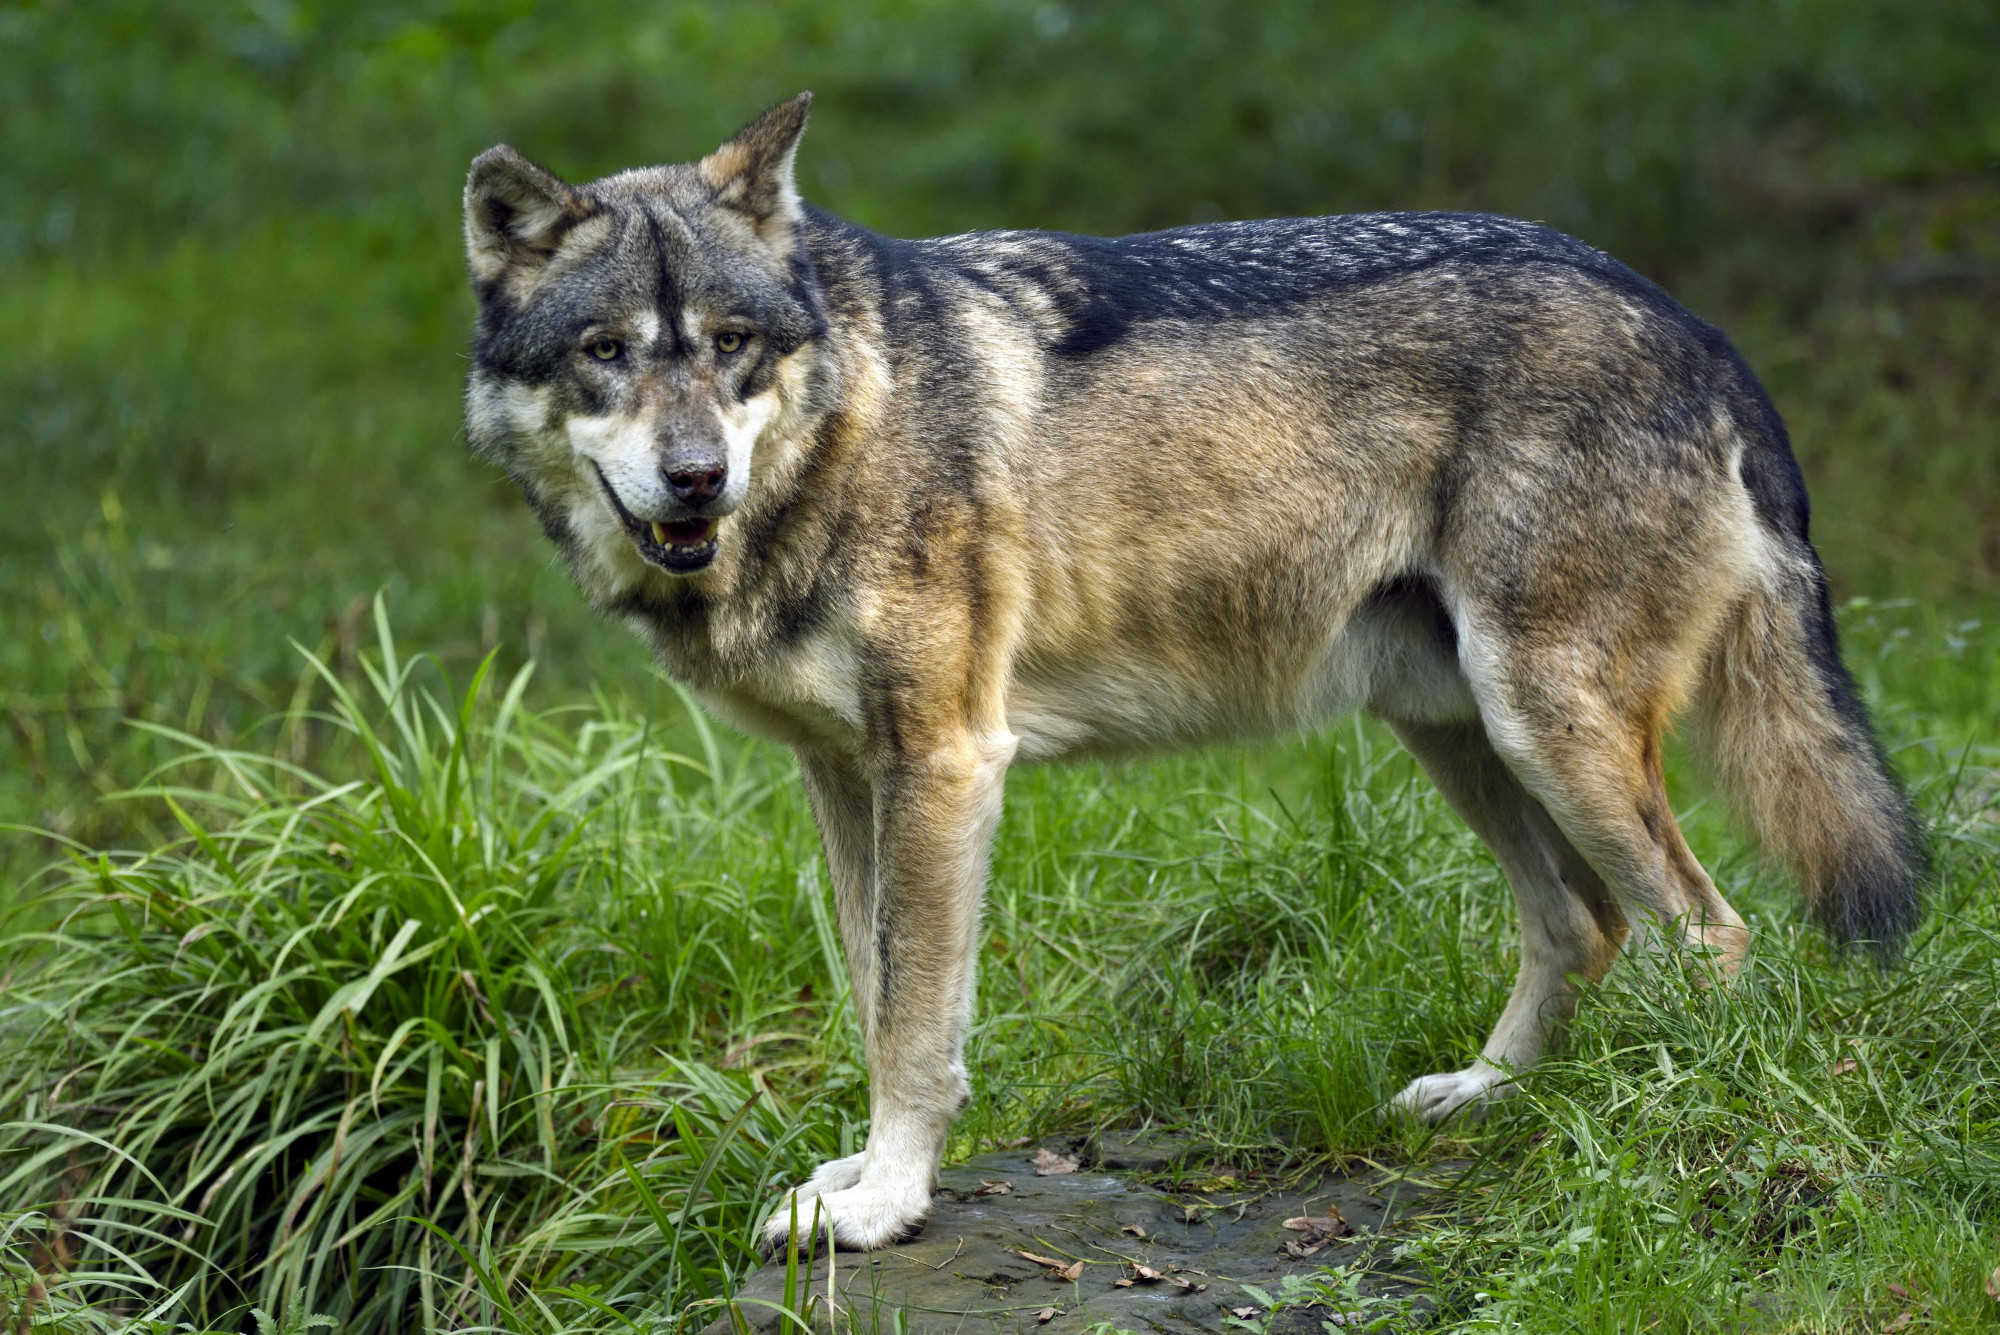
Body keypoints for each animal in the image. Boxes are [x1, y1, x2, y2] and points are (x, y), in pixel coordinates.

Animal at [464, 93, 1920, 1255]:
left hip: (1542, 724)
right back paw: (1484, 1096)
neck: (845, 427)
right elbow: (879, 1001)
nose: (695, 478)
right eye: (606, 351)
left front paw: (884, 1204)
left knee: (1710, 932)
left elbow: (915, 1025)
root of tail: (1692, 321)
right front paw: (863, 1180)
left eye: (727, 344)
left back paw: (1681, 1136)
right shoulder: (846, 775)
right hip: (1457, 728)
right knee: (1586, 923)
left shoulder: (945, 761)